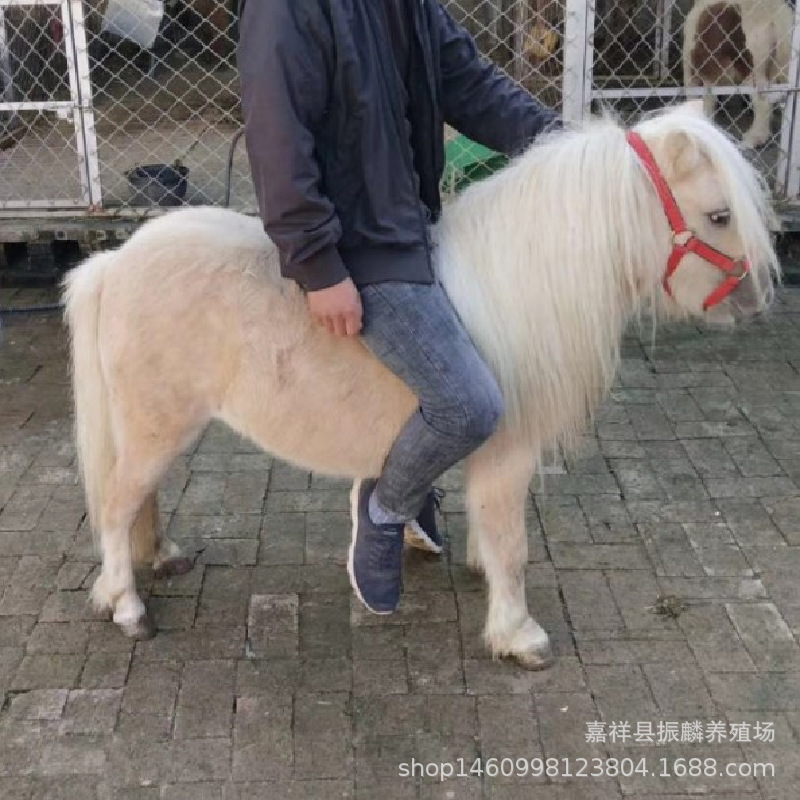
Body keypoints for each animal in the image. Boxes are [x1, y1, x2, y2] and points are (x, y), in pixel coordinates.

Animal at [62, 100, 779, 669]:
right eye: (720, 216)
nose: (754, 303)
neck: (518, 284)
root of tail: (114, 261)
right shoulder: (506, 454)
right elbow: (512, 545)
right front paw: (517, 634)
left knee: (141, 499)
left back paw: (162, 558)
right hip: (157, 427)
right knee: (119, 504)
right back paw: (126, 606)